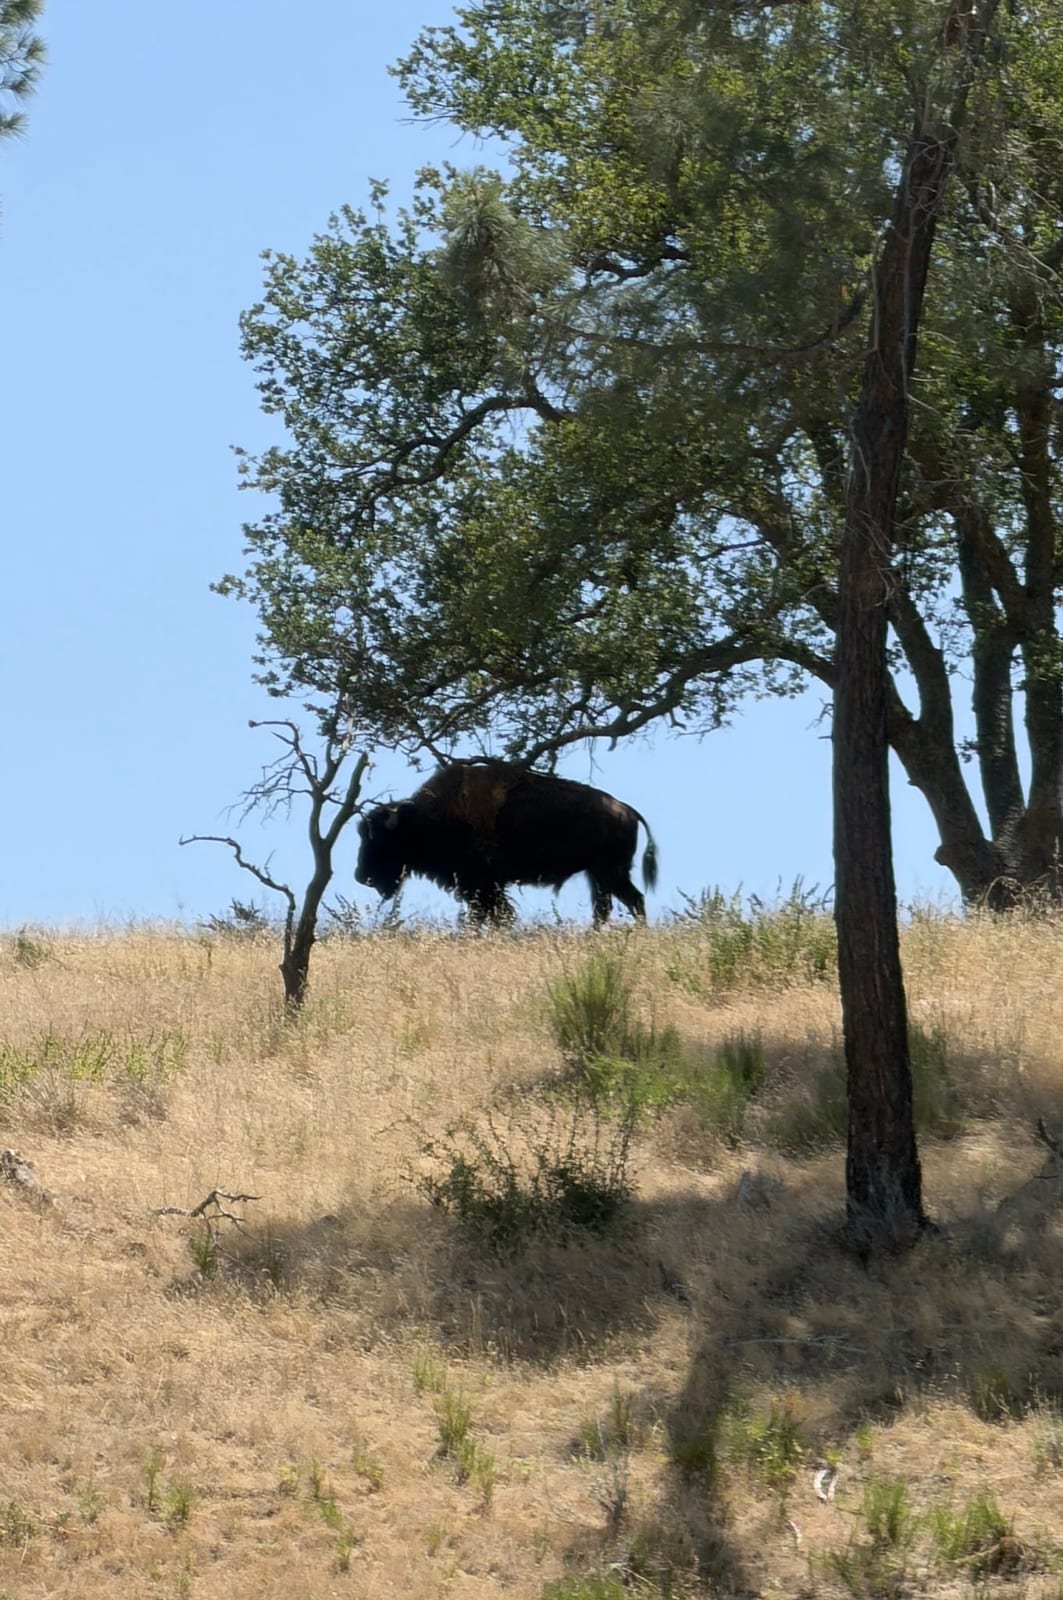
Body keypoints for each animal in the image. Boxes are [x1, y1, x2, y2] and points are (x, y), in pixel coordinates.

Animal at [355, 760, 658, 925]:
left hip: (609, 872)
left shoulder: (483, 884)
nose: (361, 876)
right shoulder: (482, 887)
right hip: (598, 874)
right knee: (608, 907)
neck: (426, 820)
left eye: (381, 840)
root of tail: (626, 809)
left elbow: (494, 914)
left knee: (632, 901)